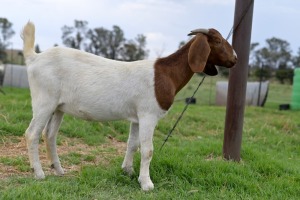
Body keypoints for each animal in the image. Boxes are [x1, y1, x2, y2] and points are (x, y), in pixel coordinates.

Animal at [20, 21, 237, 191]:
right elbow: (148, 149)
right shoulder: (148, 115)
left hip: (58, 107)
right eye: (218, 41)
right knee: (32, 134)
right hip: (44, 101)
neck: (165, 73)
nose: (235, 59)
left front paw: (128, 171)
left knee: (49, 135)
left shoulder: (137, 118)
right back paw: (39, 173)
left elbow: (132, 144)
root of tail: (34, 58)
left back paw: (58, 170)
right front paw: (147, 183)